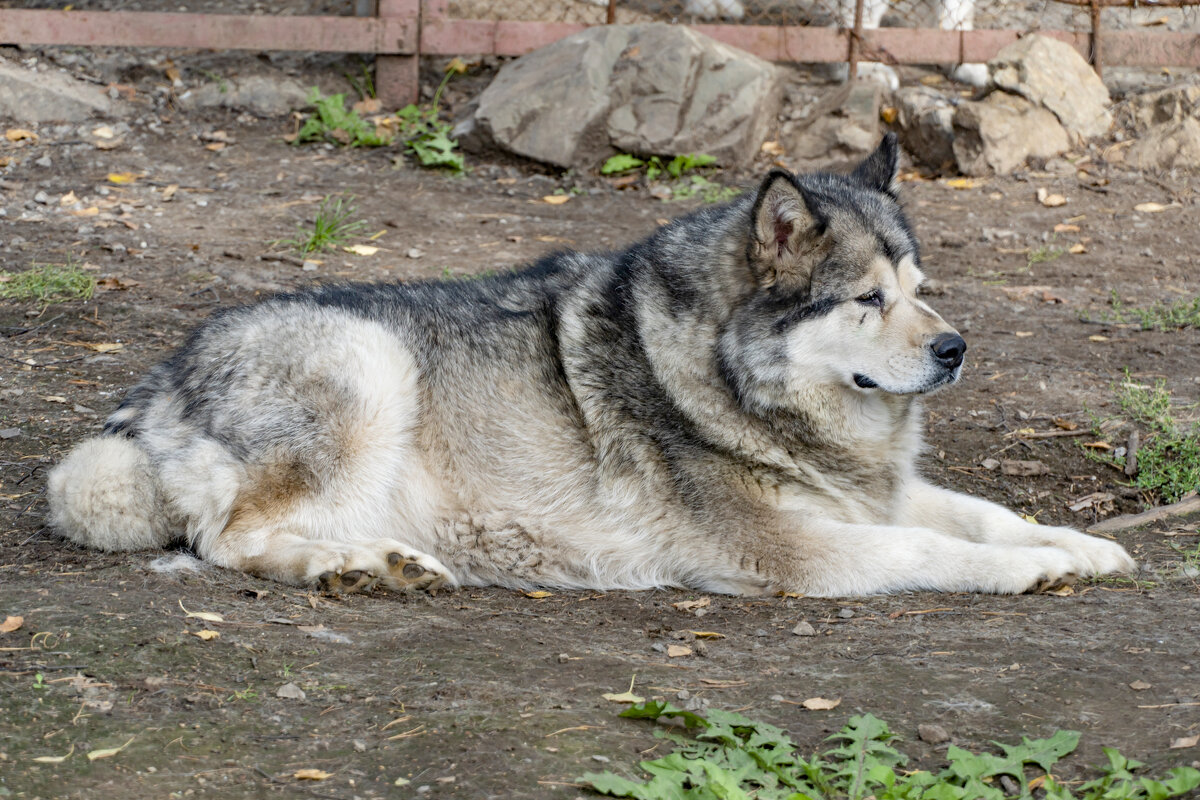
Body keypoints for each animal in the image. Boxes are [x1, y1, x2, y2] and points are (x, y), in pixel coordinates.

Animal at [49, 137, 1132, 597]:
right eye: (867, 300)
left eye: (920, 288)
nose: (955, 349)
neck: (718, 376)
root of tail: (161, 383)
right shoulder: (797, 551)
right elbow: (938, 549)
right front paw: (1033, 569)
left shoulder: (874, 494)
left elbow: (984, 513)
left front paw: (1082, 545)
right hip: (368, 364)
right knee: (225, 541)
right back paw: (351, 567)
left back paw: (382, 559)